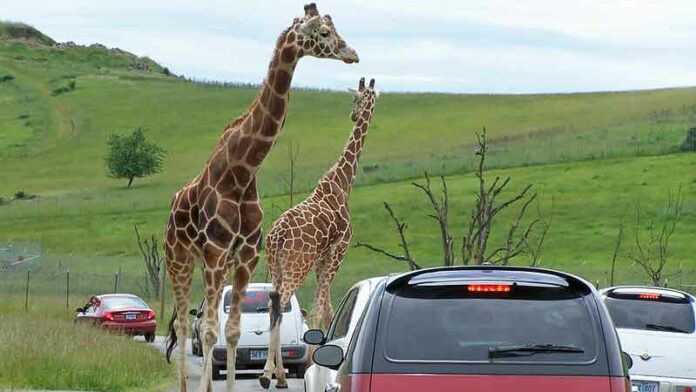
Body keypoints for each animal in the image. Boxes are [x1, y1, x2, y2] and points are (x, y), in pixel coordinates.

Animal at [164, 3, 358, 392]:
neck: (242, 171)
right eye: (324, 33)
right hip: (178, 257)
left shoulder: (246, 255)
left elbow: (232, 331)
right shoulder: (215, 251)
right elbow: (210, 331)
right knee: (183, 323)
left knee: (201, 320)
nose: (352, 54)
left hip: (210, 264)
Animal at [260, 77, 380, 388]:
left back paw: (278, 375)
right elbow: (321, 308)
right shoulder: (338, 249)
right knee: (281, 308)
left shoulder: (322, 257)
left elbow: (322, 306)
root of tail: (275, 237)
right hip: (296, 265)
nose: (354, 115)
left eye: (359, 99)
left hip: (275, 266)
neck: (343, 182)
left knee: (273, 308)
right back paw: (267, 374)